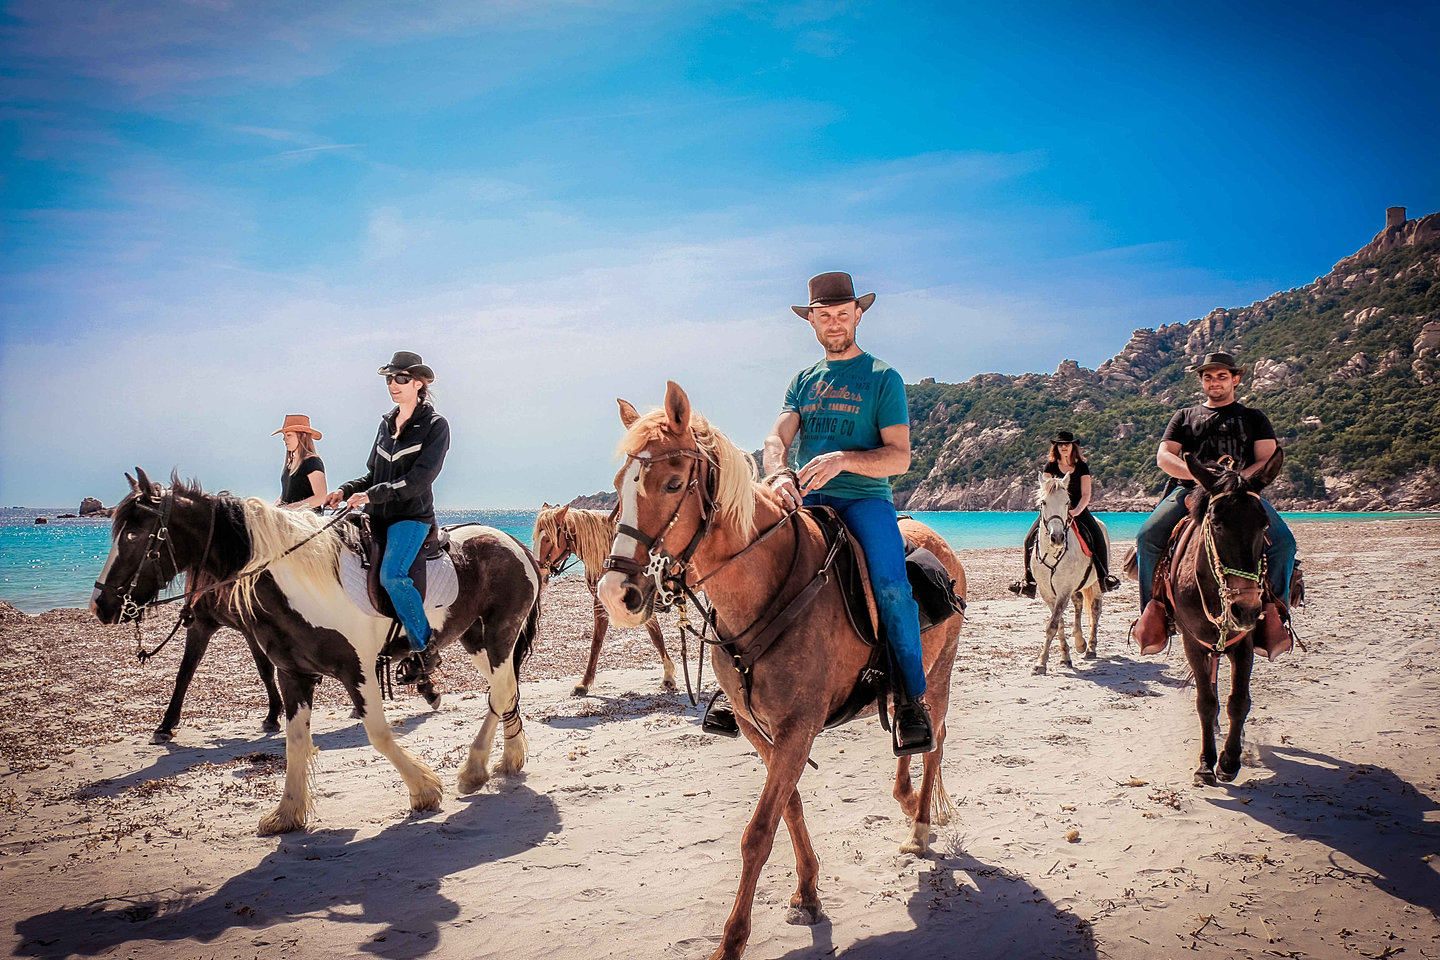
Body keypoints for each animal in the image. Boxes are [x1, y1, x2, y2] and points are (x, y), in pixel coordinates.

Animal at [91, 469, 541, 834]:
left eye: (134, 535)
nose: (101, 604)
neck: (298, 581)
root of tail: (513, 541)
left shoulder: (358, 669)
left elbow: (378, 734)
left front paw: (424, 790)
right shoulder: (294, 674)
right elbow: (295, 741)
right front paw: (287, 813)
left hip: (500, 634)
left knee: (502, 691)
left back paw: (476, 767)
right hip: (475, 638)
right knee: (505, 691)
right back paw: (503, 760)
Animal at [532, 502, 677, 696]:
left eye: (548, 539)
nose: (540, 574)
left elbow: (656, 636)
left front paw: (668, 677)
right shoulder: (600, 603)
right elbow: (597, 642)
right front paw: (584, 683)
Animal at [595, 383, 965, 960]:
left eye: (673, 483)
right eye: (618, 485)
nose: (617, 594)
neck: (766, 585)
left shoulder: (798, 728)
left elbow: (758, 832)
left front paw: (731, 942)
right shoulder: (761, 728)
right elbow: (788, 807)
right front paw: (808, 891)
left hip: (942, 671)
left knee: (936, 740)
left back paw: (920, 827)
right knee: (912, 730)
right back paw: (906, 798)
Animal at [1029, 472, 1107, 674]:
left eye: (1067, 502)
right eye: (1043, 502)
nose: (1057, 537)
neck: (1052, 553)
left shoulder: (1064, 589)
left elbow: (1052, 625)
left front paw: (1041, 663)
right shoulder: (1047, 592)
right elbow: (1059, 623)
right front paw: (1065, 657)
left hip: (1095, 583)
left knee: (1095, 610)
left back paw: (1090, 648)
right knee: (1078, 603)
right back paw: (1080, 642)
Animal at [1166, 449, 1286, 786]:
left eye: (1265, 525)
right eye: (1217, 524)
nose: (1245, 609)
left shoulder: (1243, 643)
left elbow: (1239, 701)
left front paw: (1230, 760)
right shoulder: (1193, 642)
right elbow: (1206, 703)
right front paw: (1206, 763)